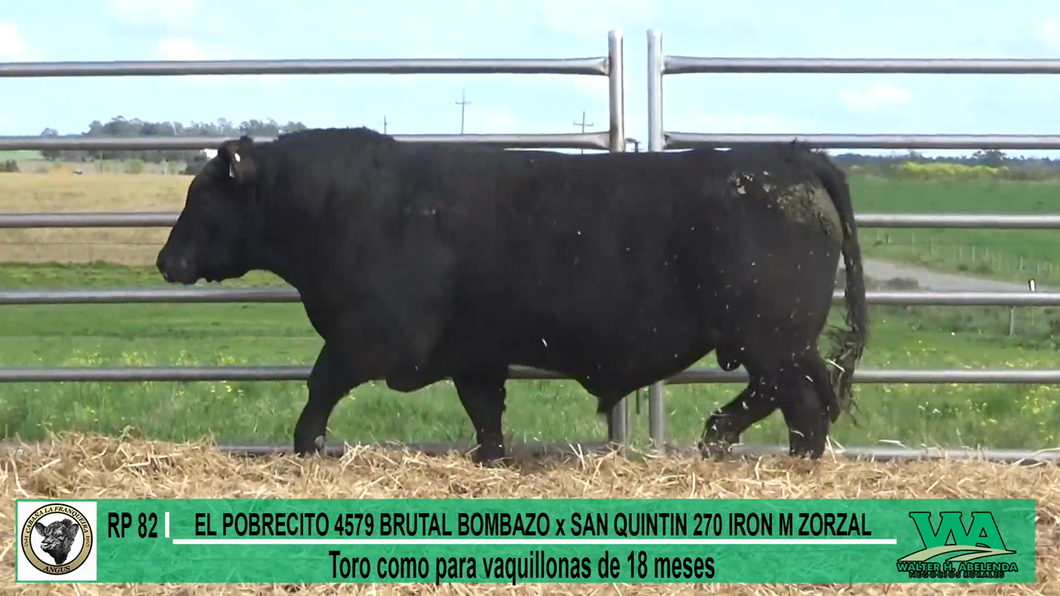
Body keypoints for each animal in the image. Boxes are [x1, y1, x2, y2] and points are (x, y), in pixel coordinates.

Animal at [156, 127, 869, 462]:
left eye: (204, 196)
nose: (166, 260)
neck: (347, 206)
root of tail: (788, 156)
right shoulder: (475, 351)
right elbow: (485, 414)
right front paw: (492, 460)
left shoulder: (374, 337)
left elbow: (320, 383)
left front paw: (306, 446)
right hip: (779, 339)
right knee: (800, 398)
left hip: (770, 336)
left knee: (799, 403)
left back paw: (747, 447)